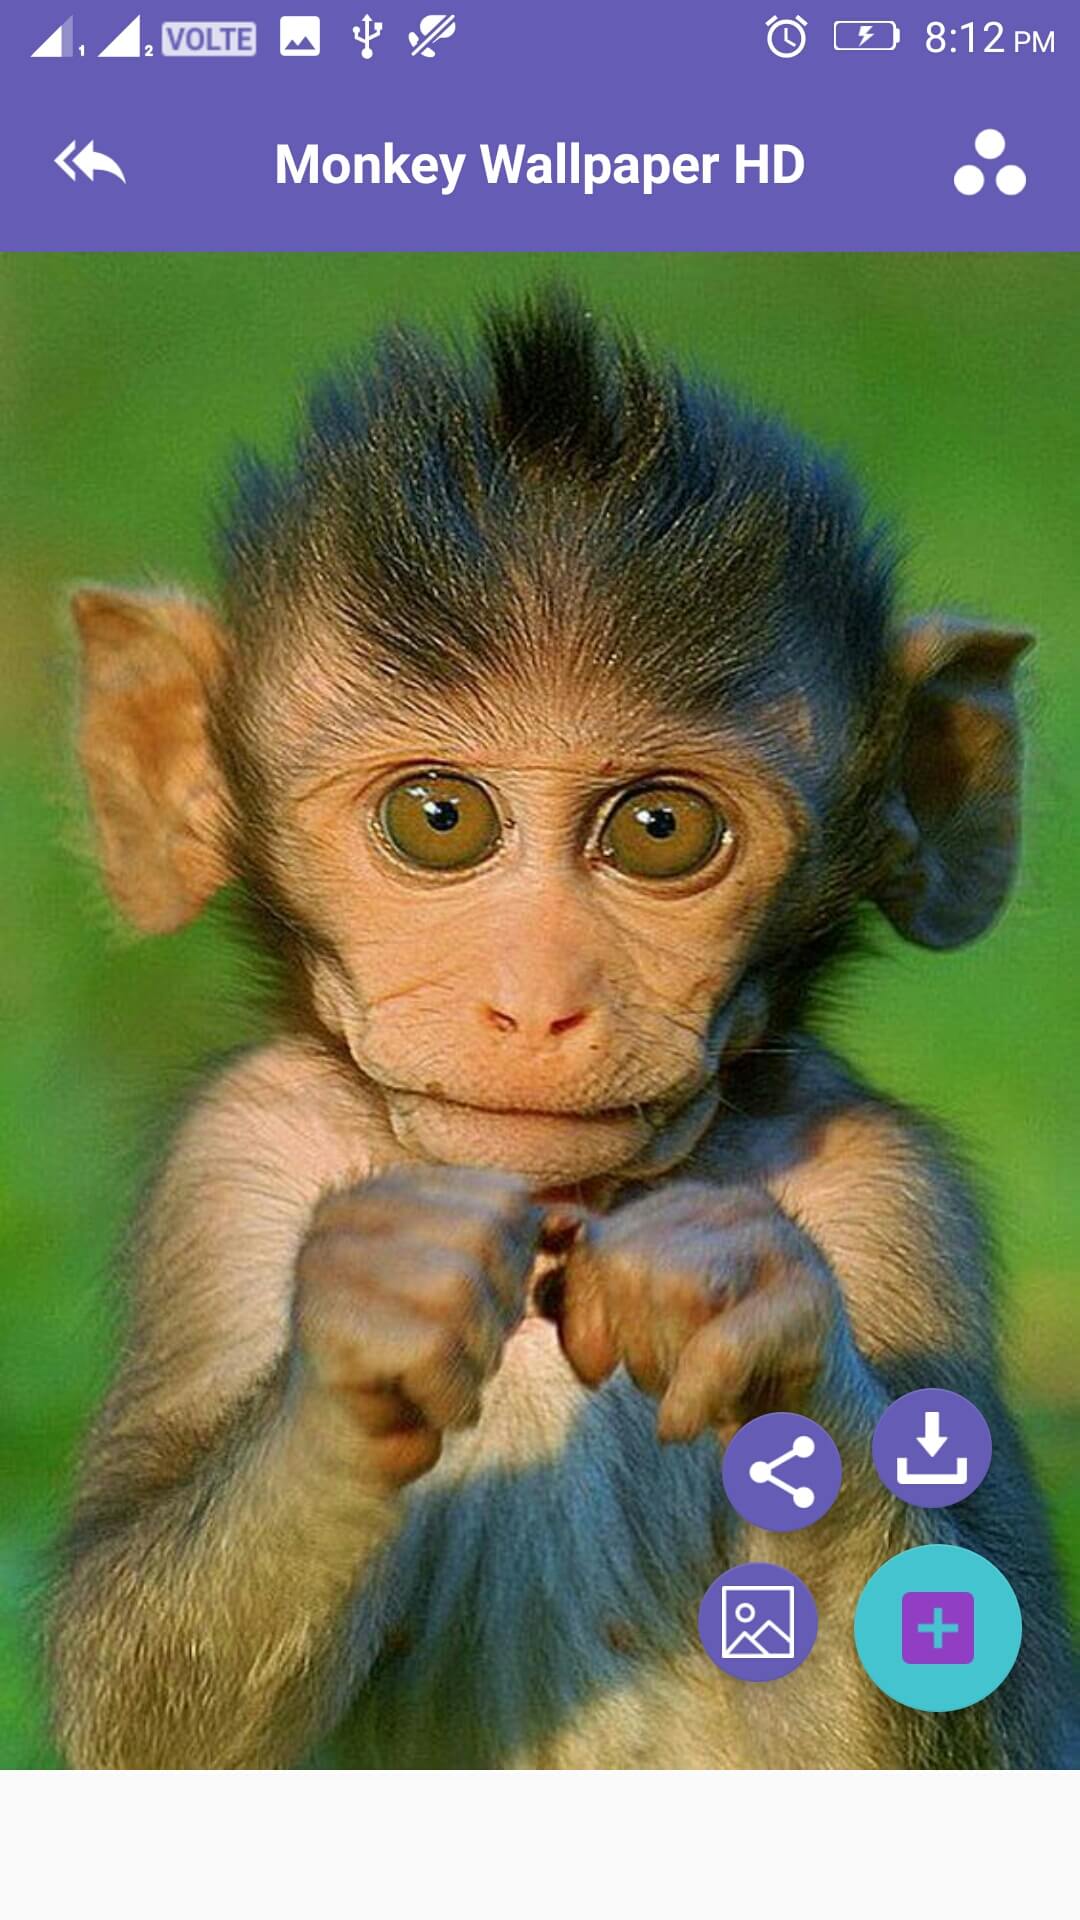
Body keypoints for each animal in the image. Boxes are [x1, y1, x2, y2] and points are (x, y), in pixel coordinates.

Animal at [47, 290, 1069, 1770]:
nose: (538, 1001)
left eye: (661, 829)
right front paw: (370, 1319)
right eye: (438, 818)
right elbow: (135, 1716)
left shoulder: (893, 1194)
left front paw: (744, 1301)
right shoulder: (231, 1159)